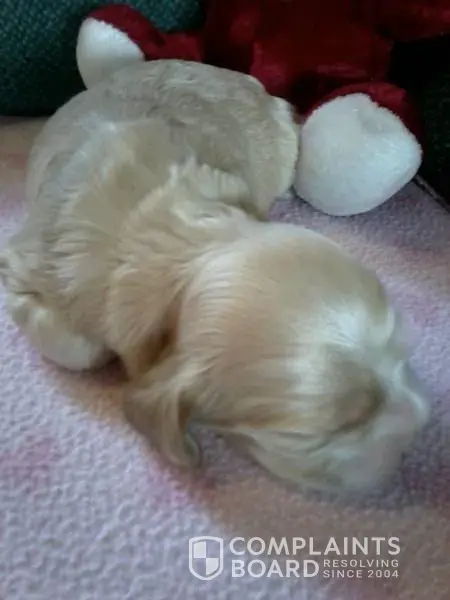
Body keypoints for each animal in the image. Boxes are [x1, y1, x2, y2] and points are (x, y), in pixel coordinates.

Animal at [0, 60, 428, 492]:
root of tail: (230, 73)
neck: (167, 236)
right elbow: (78, 349)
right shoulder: (26, 261)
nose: (423, 423)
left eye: (401, 347)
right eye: (329, 430)